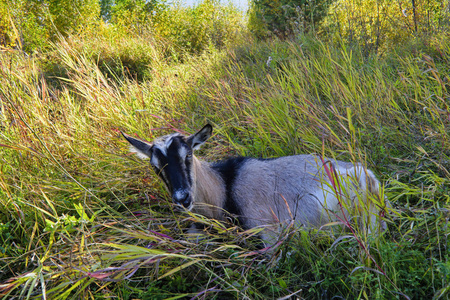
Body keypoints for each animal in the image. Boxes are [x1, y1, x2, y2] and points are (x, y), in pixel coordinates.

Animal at [122, 123, 386, 244]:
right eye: (156, 168)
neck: (224, 186)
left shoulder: (270, 234)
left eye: (187, 156)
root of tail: (366, 176)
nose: (182, 198)